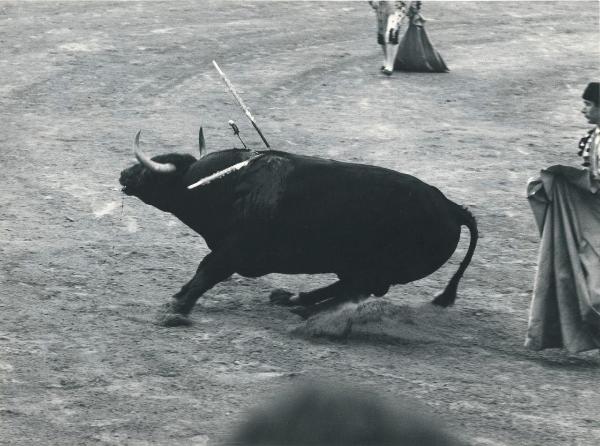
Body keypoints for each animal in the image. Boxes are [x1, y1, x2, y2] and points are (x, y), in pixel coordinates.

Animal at [120, 134, 478, 326]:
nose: (124, 174)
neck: (229, 185)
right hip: (359, 266)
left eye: (149, 172)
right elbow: (204, 270)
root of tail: (451, 207)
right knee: (349, 287)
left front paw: (177, 307)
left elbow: (207, 271)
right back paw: (295, 298)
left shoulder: (234, 250)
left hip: (378, 268)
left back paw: (306, 308)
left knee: (357, 290)